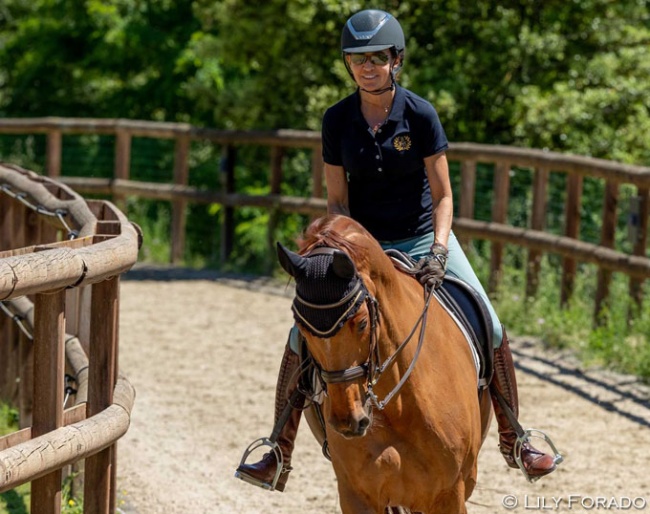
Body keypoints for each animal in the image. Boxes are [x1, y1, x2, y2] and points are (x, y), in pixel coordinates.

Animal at [274, 214, 492, 510]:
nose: (348, 420)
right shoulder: (356, 495)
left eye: (362, 323)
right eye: (301, 327)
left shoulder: (450, 494)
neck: (399, 403)